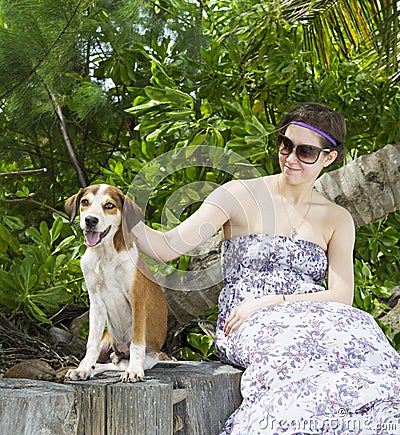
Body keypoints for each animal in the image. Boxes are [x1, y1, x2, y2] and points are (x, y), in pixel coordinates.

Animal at [64, 186, 167, 384]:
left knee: (119, 364)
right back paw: (87, 369)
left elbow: (137, 343)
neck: (104, 257)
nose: (90, 220)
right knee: (103, 362)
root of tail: (119, 353)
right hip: (107, 340)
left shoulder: (137, 301)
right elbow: (91, 343)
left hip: (150, 357)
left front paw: (134, 371)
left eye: (109, 205)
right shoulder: (96, 303)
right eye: (85, 202)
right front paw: (83, 369)